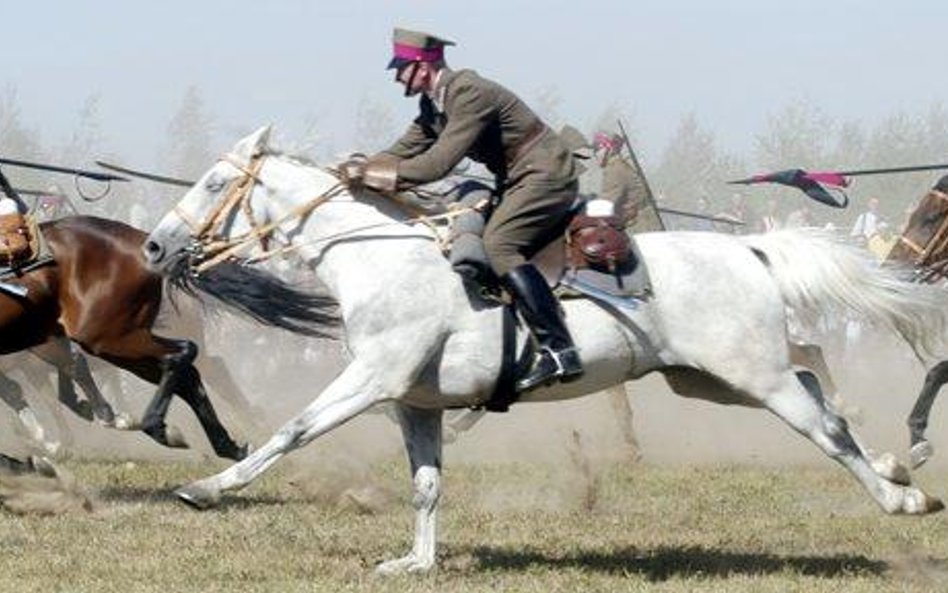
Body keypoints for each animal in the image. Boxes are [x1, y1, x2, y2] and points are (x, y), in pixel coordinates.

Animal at [0, 215, 248, 460]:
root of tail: (142, 240)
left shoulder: (34, 360)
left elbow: (25, 392)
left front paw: (49, 444)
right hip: (118, 343)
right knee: (189, 374)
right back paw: (228, 446)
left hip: (107, 338)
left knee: (185, 356)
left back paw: (154, 425)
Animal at [143, 128, 948, 572]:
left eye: (214, 183)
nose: (153, 246)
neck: (379, 256)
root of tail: (749, 249)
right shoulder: (414, 402)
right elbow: (427, 482)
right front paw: (417, 561)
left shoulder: (370, 380)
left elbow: (291, 430)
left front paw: (207, 487)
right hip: (711, 378)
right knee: (816, 381)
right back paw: (894, 462)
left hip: (755, 375)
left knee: (826, 426)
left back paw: (900, 494)